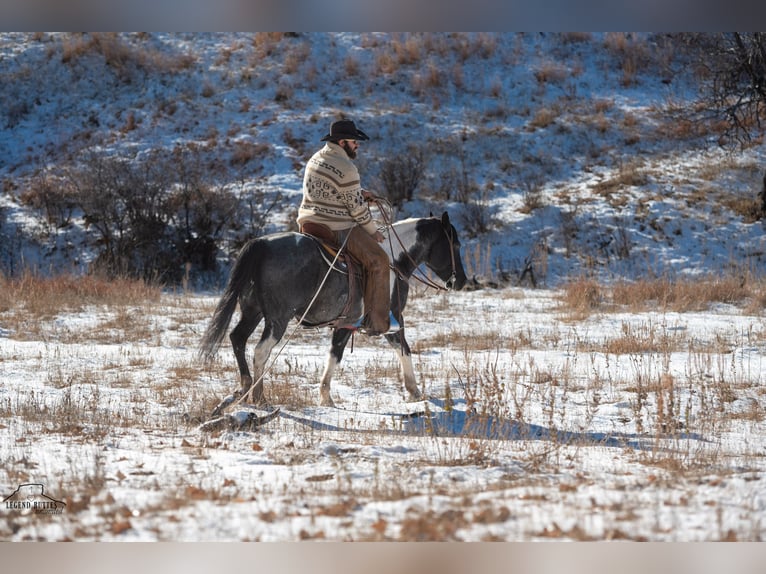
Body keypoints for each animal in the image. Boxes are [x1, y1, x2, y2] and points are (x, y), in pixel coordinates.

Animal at [200, 213, 468, 410]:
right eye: (455, 244)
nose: (462, 281)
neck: (394, 260)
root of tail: (262, 244)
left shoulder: (345, 323)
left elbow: (334, 354)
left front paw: (325, 397)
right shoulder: (390, 319)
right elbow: (404, 348)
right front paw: (414, 392)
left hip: (252, 312)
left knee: (237, 339)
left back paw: (245, 387)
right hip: (277, 320)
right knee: (260, 351)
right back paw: (259, 396)